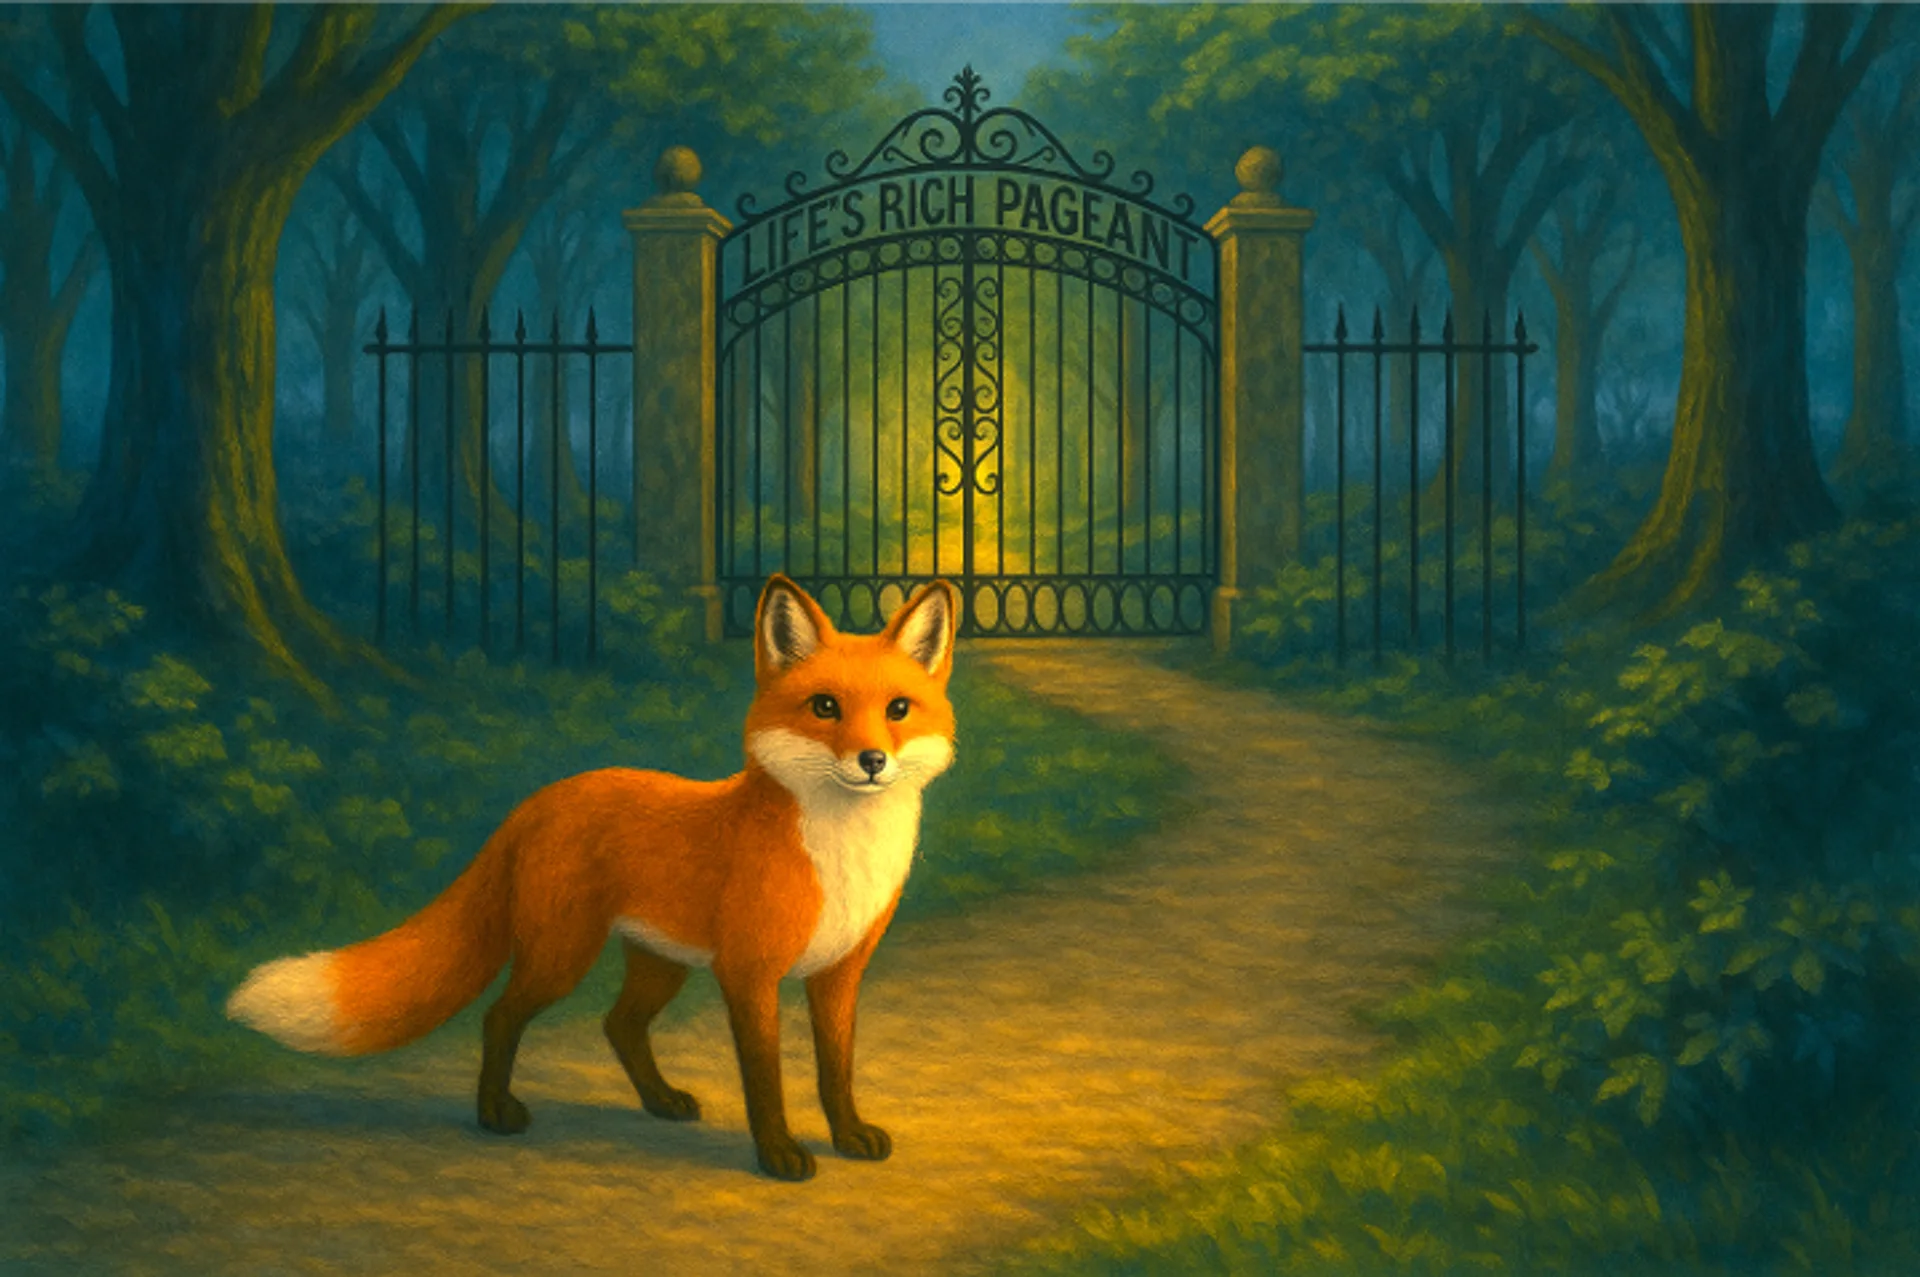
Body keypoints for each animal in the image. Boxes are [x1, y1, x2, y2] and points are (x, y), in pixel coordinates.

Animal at [225, 574, 960, 1181]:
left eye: (898, 709)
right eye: (825, 706)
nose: (871, 761)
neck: (839, 852)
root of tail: (541, 798)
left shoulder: (838, 973)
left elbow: (837, 1070)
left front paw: (848, 1135)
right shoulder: (749, 975)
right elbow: (766, 1081)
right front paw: (778, 1153)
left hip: (659, 963)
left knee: (619, 1026)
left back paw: (659, 1100)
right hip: (562, 956)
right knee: (500, 1015)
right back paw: (495, 1112)